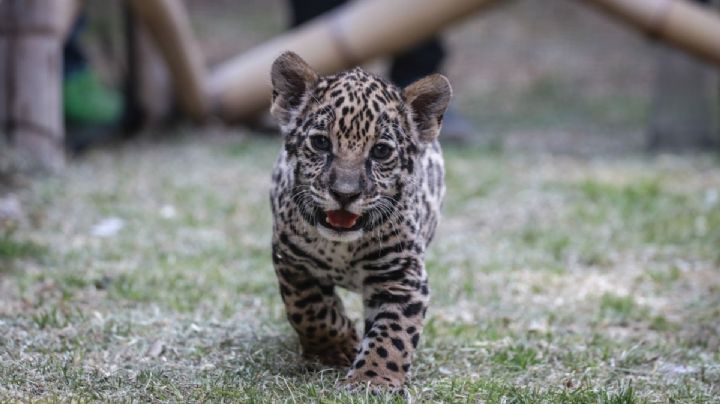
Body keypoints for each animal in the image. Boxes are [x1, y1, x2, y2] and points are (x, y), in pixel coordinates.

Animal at [269, 51, 450, 391]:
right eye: (321, 143)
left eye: (380, 151)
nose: (345, 193)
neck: (341, 247)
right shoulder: (292, 262)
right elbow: (310, 311)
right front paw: (336, 348)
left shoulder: (402, 277)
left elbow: (393, 334)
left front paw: (373, 379)